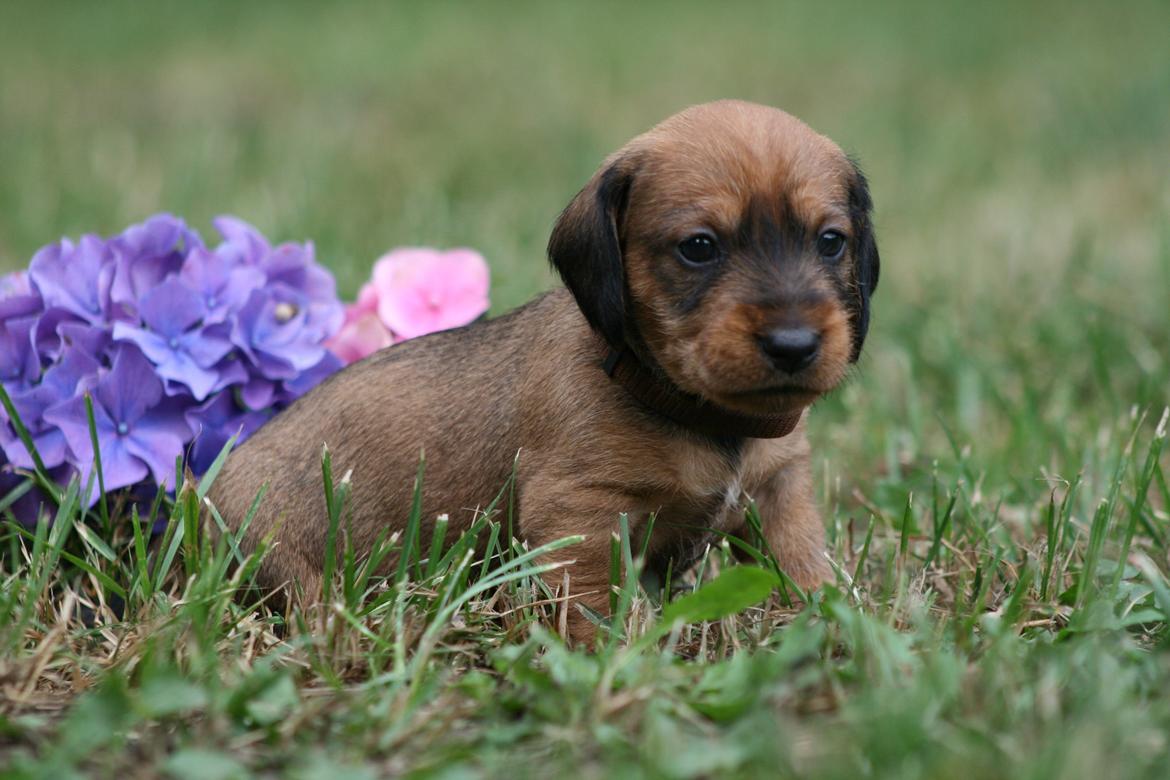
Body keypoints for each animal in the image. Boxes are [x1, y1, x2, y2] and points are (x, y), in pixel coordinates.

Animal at [208, 99, 879, 640]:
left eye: (831, 241)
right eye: (699, 247)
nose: (793, 345)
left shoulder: (780, 492)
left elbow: (801, 564)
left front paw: (829, 620)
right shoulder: (576, 515)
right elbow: (589, 607)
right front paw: (610, 657)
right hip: (278, 546)